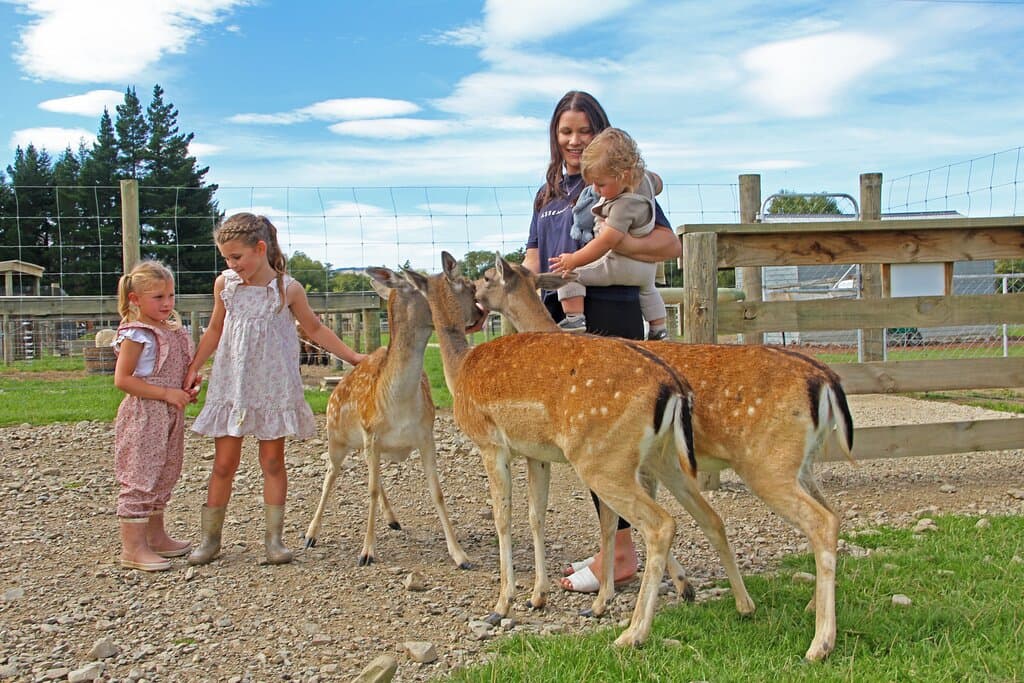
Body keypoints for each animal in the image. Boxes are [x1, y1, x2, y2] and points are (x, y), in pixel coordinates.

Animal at [302, 266, 472, 570]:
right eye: (422, 284)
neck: (399, 405)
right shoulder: (372, 434)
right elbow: (368, 489)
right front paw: (366, 552)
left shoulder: (426, 435)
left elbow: (437, 491)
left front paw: (460, 555)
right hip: (336, 437)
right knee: (330, 476)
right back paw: (310, 535)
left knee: (373, 476)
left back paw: (392, 519)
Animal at [403, 252, 754, 649]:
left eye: (485, 278)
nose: (477, 304)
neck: (458, 370)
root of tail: (674, 386)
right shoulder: (536, 454)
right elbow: (537, 515)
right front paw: (538, 596)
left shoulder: (490, 442)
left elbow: (504, 518)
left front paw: (503, 604)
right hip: (662, 459)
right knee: (710, 516)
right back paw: (742, 605)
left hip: (602, 459)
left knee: (660, 523)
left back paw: (633, 632)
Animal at [473, 253, 854, 661]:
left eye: (487, 276)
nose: (474, 295)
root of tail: (827, 379)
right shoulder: (652, 461)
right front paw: (682, 586)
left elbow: (617, 521)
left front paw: (606, 601)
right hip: (802, 463)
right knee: (831, 512)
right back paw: (812, 606)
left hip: (768, 462)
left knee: (821, 521)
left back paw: (820, 642)